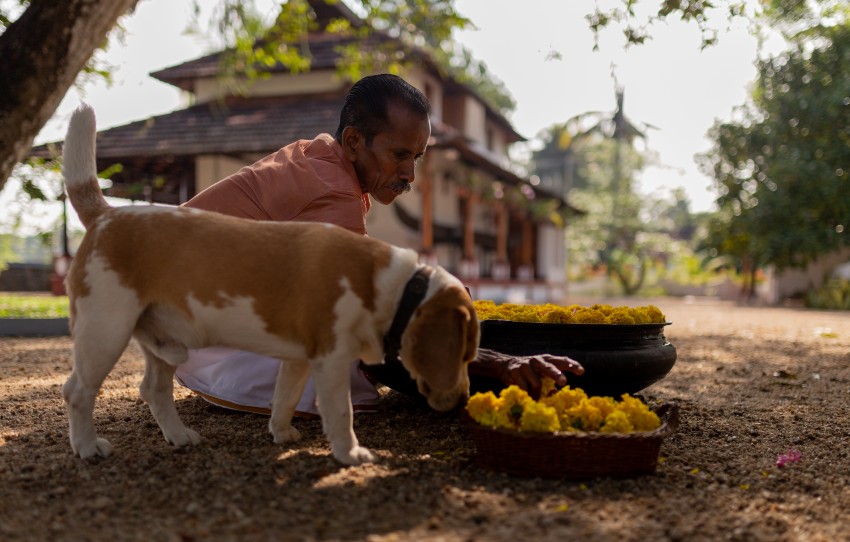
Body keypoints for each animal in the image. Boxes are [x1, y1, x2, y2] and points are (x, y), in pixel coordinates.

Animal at [61, 106, 476, 468]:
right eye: (463, 355)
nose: (463, 400)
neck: (392, 285)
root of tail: (107, 215)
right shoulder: (331, 359)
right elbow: (341, 413)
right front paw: (350, 453)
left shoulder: (298, 359)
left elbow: (285, 398)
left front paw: (281, 433)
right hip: (106, 332)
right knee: (77, 391)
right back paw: (87, 446)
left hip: (165, 342)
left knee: (154, 390)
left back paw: (178, 436)